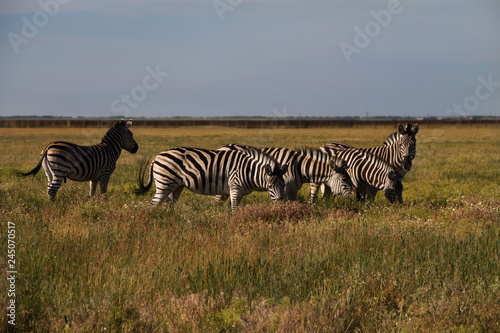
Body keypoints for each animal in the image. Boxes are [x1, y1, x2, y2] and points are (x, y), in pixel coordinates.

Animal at [136, 146, 290, 210]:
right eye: (270, 186)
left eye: (283, 185)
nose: (280, 204)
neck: (249, 170)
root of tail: (157, 156)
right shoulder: (235, 188)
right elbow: (234, 210)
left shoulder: (233, 191)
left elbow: (229, 210)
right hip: (164, 184)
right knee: (152, 205)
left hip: (176, 186)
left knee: (169, 204)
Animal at [215, 143, 356, 202]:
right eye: (344, 180)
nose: (355, 197)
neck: (298, 166)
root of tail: (221, 147)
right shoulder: (283, 187)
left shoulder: (293, 189)